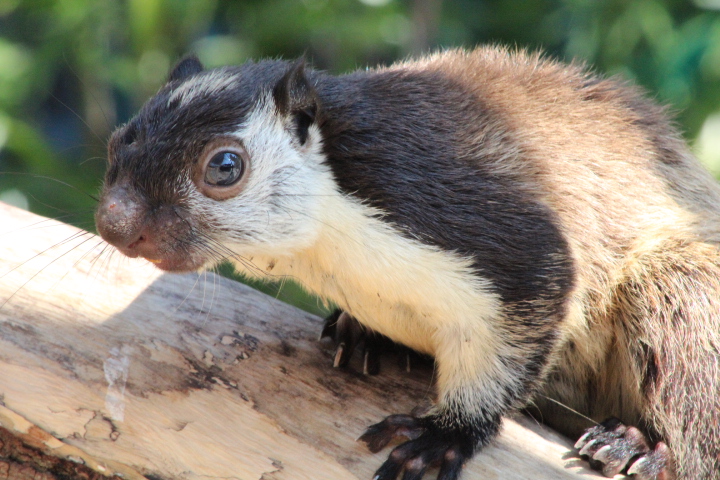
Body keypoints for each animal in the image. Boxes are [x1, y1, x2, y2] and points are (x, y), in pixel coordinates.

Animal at [94, 47, 720, 480]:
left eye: (224, 166)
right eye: (119, 141)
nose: (113, 223)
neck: (333, 255)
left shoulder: (504, 240)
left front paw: (443, 437)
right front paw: (360, 332)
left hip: (678, 284)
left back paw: (637, 448)